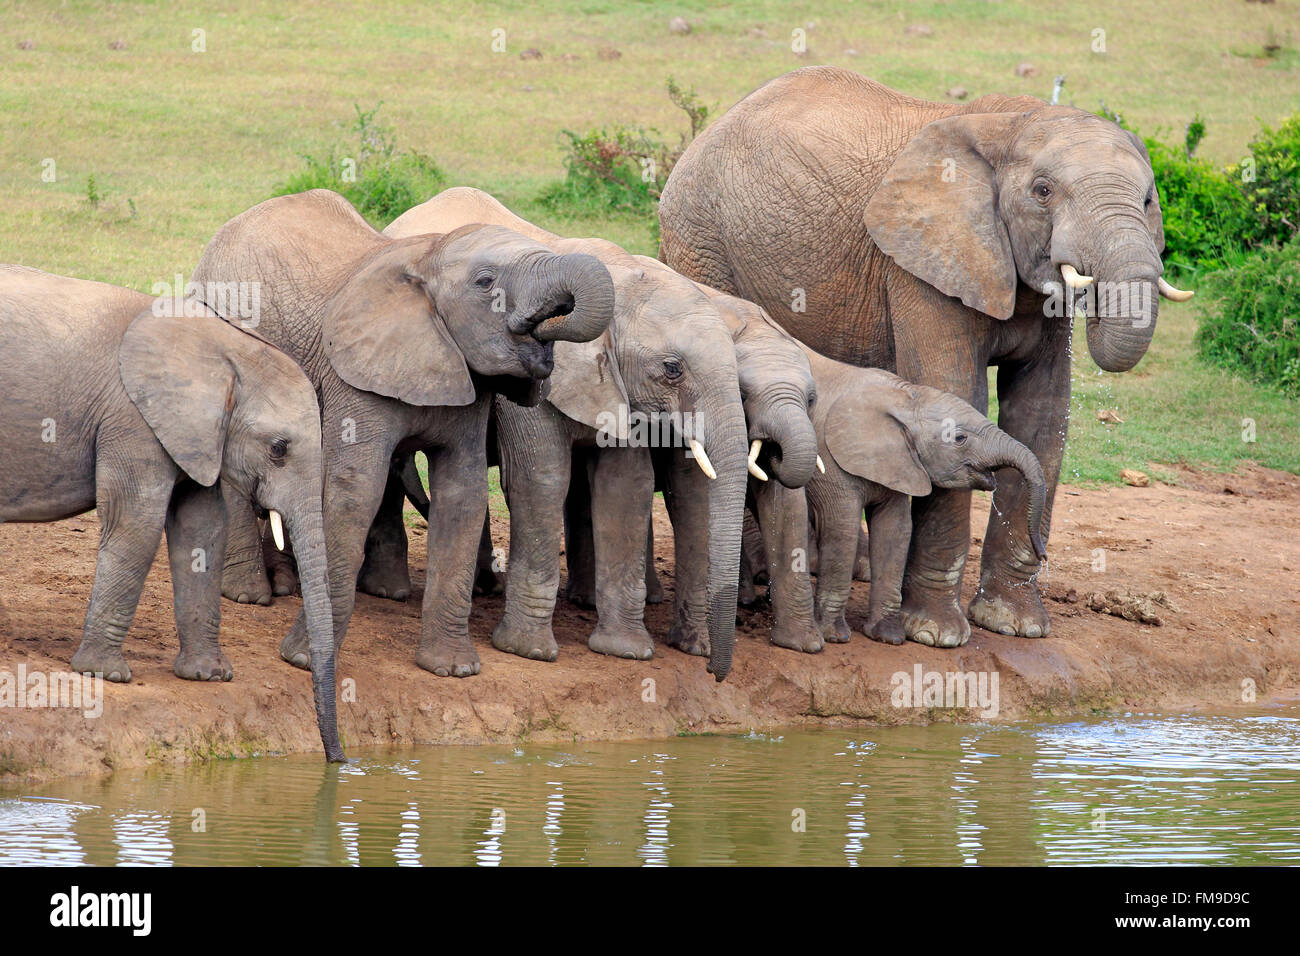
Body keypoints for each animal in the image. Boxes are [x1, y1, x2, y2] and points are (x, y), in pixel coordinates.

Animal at [0, 267, 343, 764]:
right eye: (278, 448)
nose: (339, 762)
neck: (222, 347)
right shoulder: (133, 420)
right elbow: (137, 524)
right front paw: (106, 675)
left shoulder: (195, 435)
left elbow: (202, 529)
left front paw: (209, 677)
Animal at [189, 188, 616, 681]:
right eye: (485, 282)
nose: (549, 326)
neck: (427, 257)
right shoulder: (356, 374)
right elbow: (355, 490)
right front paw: (302, 660)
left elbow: (463, 494)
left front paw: (451, 669)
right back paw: (250, 594)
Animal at [764, 343, 1050, 650]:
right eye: (959, 438)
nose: (1043, 554)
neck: (906, 398)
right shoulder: (831, 460)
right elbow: (842, 529)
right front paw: (835, 636)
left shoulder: (900, 463)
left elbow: (896, 530)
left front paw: (888, 636)